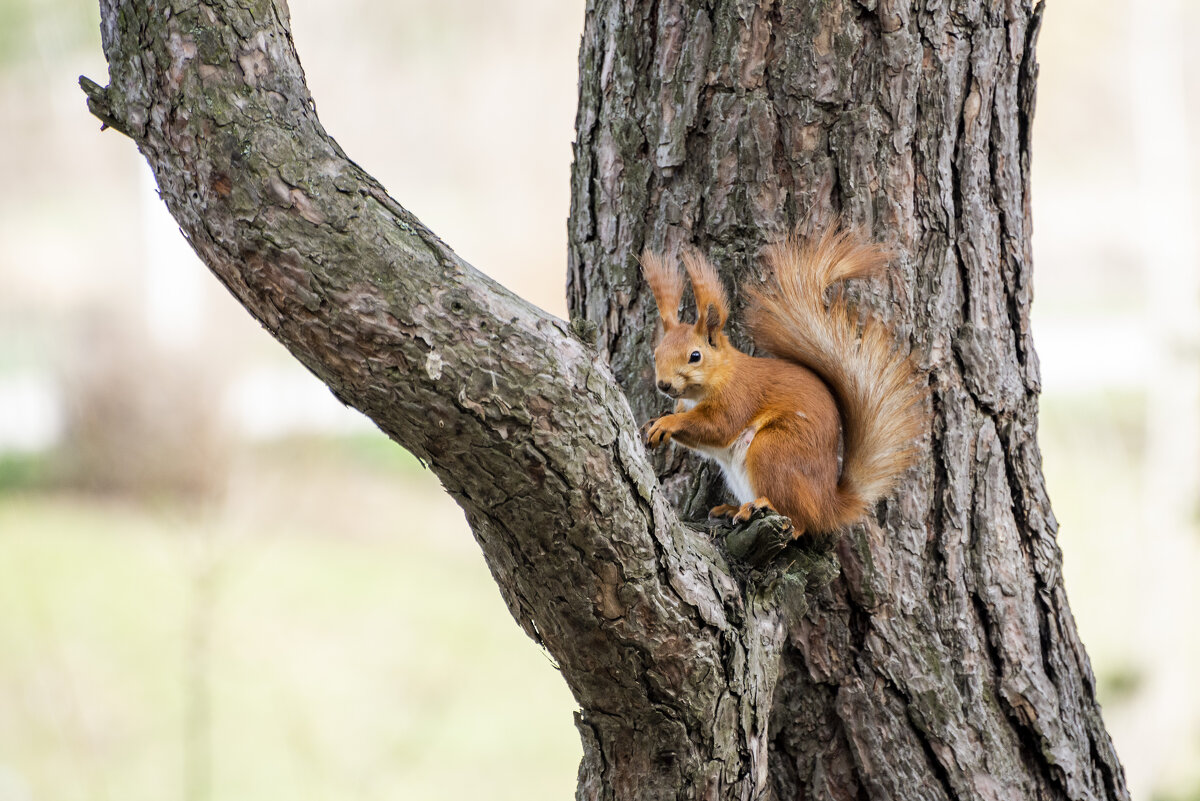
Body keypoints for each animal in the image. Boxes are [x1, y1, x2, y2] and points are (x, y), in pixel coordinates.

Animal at [643, 227, 921, 534]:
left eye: (695, 356)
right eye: (655, 353)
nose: (664, 385)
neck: (714, 380)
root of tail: (827, 505)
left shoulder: (739, 395)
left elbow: (717, 426)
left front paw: (668, 423)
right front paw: (654, 421)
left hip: (773, 449)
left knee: (799, 522)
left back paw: (760, 506)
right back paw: (733, 508)